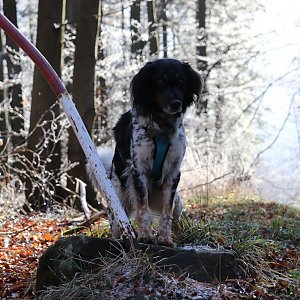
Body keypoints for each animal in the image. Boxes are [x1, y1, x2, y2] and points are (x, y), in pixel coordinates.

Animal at [88, 58, 203, 246]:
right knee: (117, 225)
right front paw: (146, 236)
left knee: (176, 216)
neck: (162, 124)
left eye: (181, 81)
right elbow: (144, 210)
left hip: (178, 203)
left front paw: (165, 239)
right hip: (118, 199)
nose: (176, 104)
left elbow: (166, 212)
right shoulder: (139, 170)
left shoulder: (173, 173)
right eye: (160, 82)